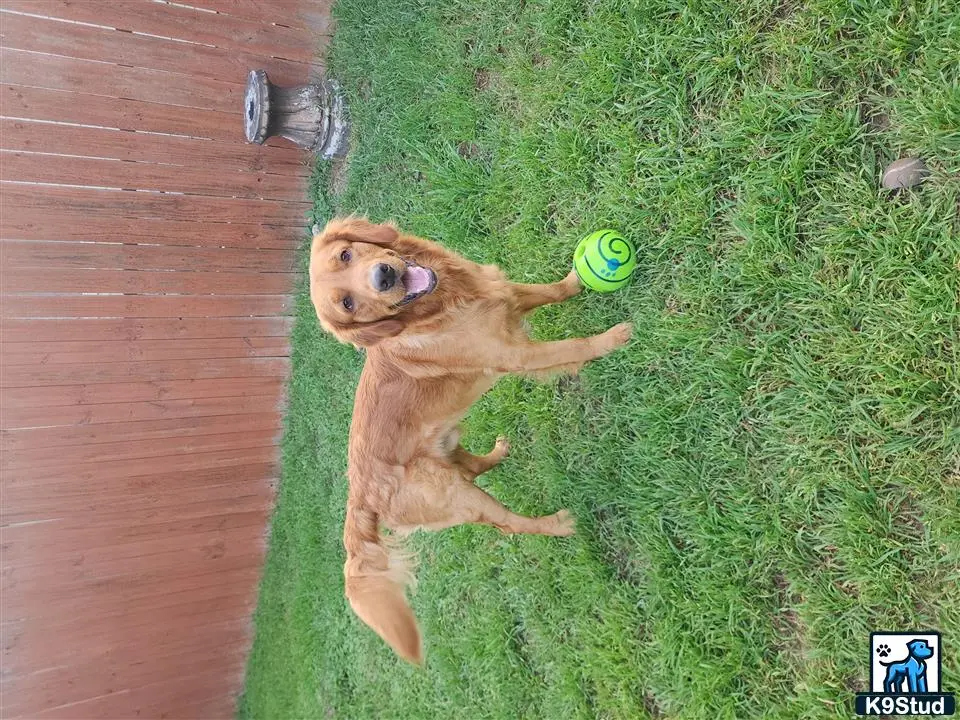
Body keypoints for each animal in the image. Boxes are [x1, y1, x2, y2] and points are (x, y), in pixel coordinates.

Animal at [312, 218, 632, 664]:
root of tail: (360, 495)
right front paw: (613, 339)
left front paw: (576, 277)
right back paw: (557, 525)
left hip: (448, 451)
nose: (384, 277)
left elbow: (551, 290)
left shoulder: (505, 291)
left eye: (346, 255)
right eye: (347, 304)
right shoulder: (516, 356)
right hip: (456, 497)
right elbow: (571, 346)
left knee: (473, 466)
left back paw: (498, 451)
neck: (440, 303)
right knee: (506, 523)